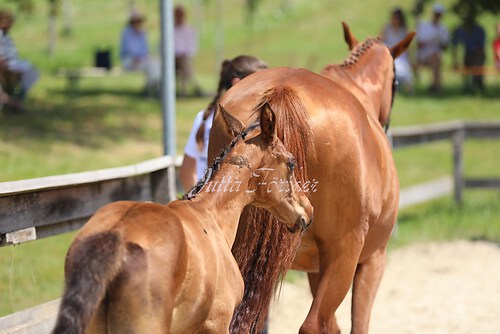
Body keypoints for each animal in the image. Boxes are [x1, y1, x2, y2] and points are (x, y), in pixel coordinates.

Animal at [207, 22, 414, 332]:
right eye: (396, 83)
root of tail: (282, 91)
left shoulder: (315, 267)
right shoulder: (372, 260)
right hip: (345, 255)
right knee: (313, 323)